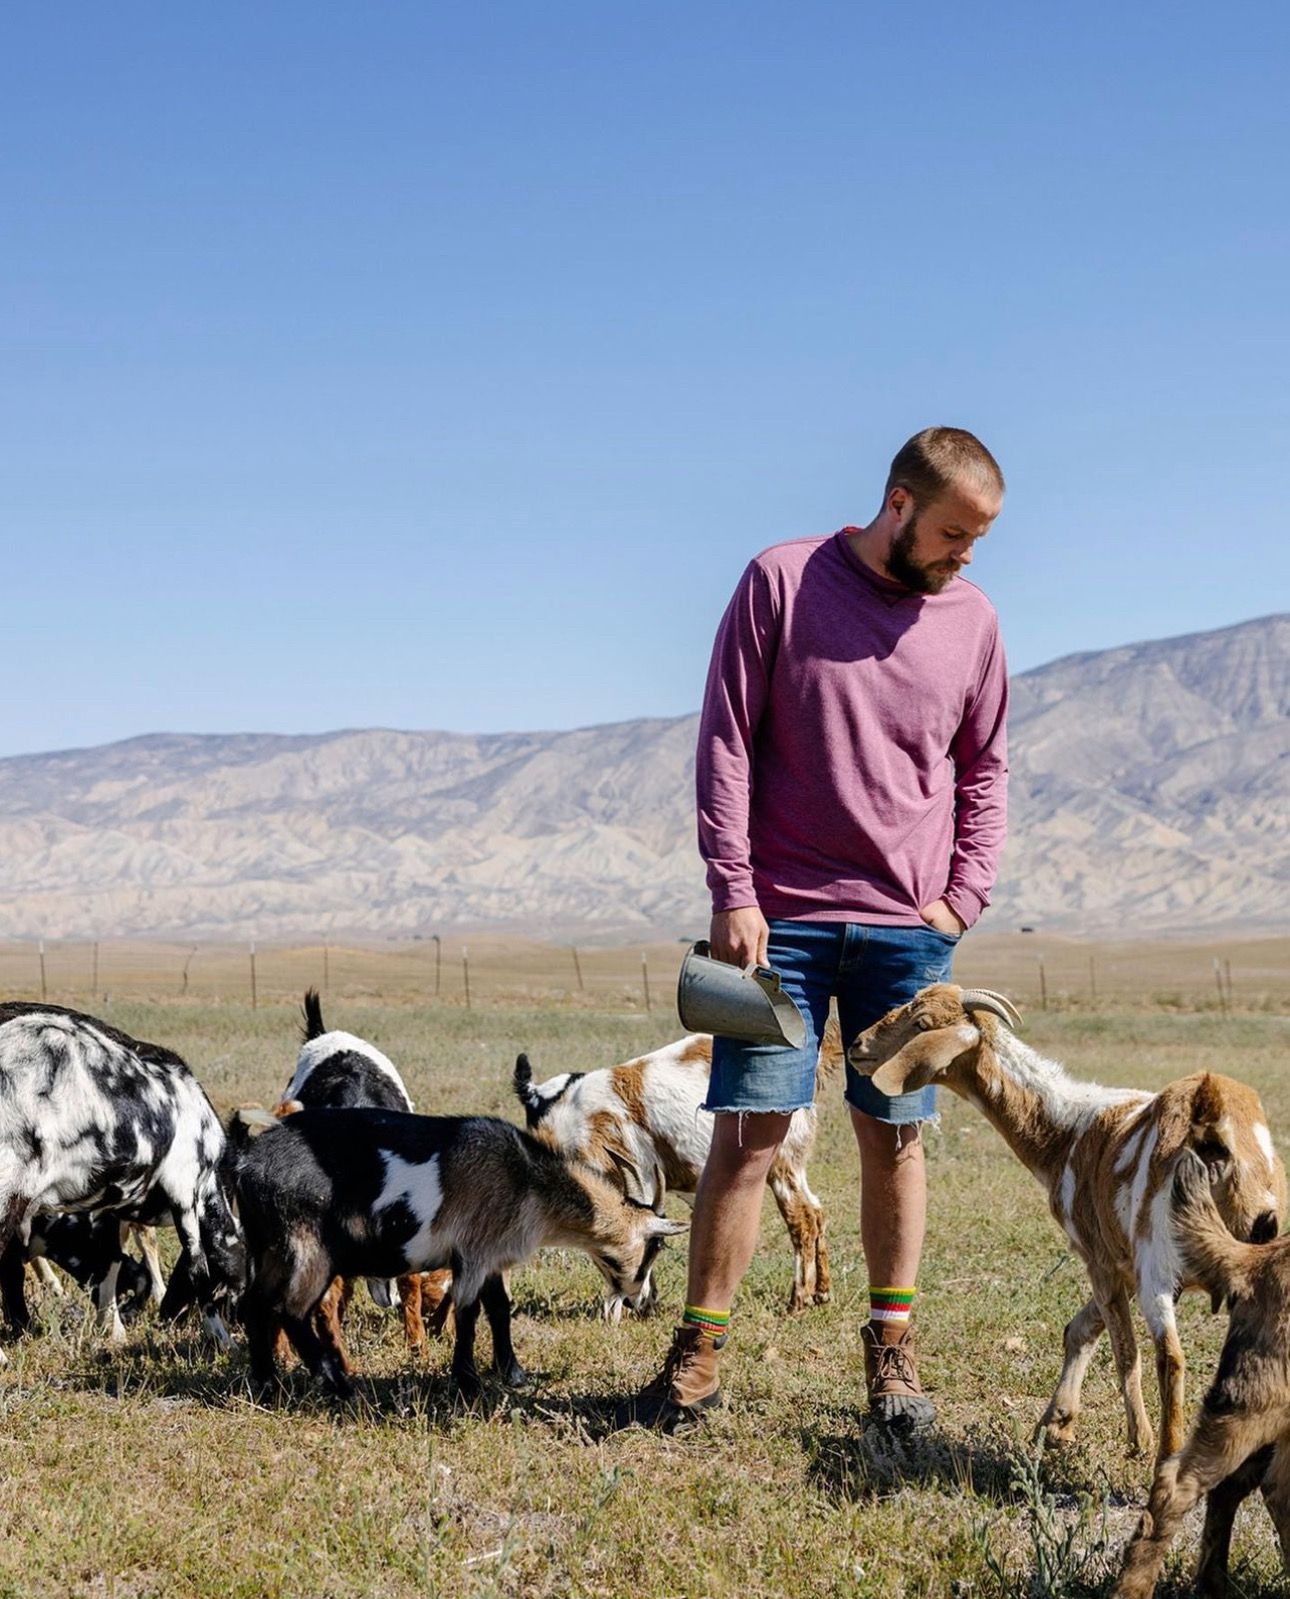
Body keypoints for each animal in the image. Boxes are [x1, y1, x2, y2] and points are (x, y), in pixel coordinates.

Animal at [0, 997, 246, 1349]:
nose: (169, 1316)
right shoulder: (185, 1189)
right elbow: (198, 1267)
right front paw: (223, 1340)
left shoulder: (106, 1206)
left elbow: (111, 1261)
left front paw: (113, 1327)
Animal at [230, 1112, 687, 1400]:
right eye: (654, 1248)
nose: (639, 1300)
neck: (525, 1176)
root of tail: (247, 1164)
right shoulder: (474, 1251)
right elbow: (469, 1312)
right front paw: (467, 1380)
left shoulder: (493, 1257)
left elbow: (499, 1308)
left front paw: (511, 1372)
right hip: (309, 1248)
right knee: (291, 1311)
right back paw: (339, 1386)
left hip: (271, 1248)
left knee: (255, 1304)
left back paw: (267, 1384)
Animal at [508, 1023, 844, 1311]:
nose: (634, 1303)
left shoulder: (638, 1174)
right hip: (795, 1162)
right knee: (817, 1212)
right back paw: (822, 1293)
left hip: (782, 1162)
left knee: (802, 1219)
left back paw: (797, 1300)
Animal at [850, 984, 1285, 1471]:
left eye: (921, 1023)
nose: (858, 1045)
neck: (1066, 1131)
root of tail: (1213, 1120)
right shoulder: (1121, 1262)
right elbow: (1080, 1329)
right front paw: (1054, 1426)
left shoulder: (1102, 1258)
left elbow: (1124, 1350)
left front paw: (1136, 1439)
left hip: (1159, 1262)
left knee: (1169, 1357)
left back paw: (1166, 1460)